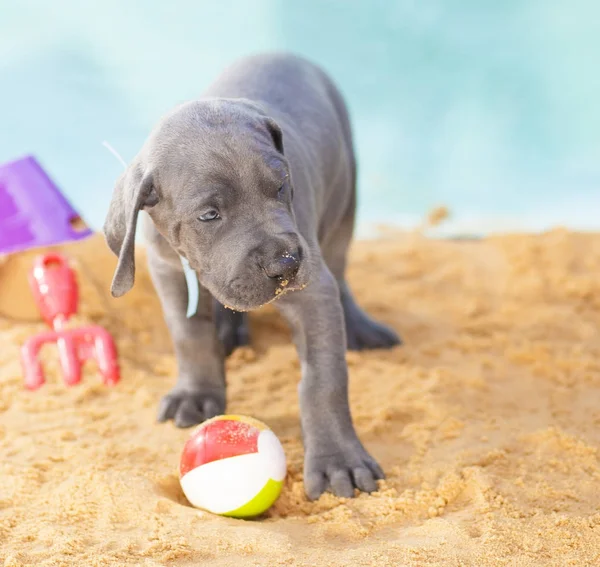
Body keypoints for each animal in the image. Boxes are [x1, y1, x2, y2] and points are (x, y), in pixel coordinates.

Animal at [103, 51, 400, 500]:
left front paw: (339, 461)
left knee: (342, 268)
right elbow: (190, 337)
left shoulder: (313, 291)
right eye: (209, 214)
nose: (286, 264)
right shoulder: (168, 270)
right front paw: (196, 394)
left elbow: (323, 381)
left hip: (345, 197)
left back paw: (360, 327)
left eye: (281, 188)